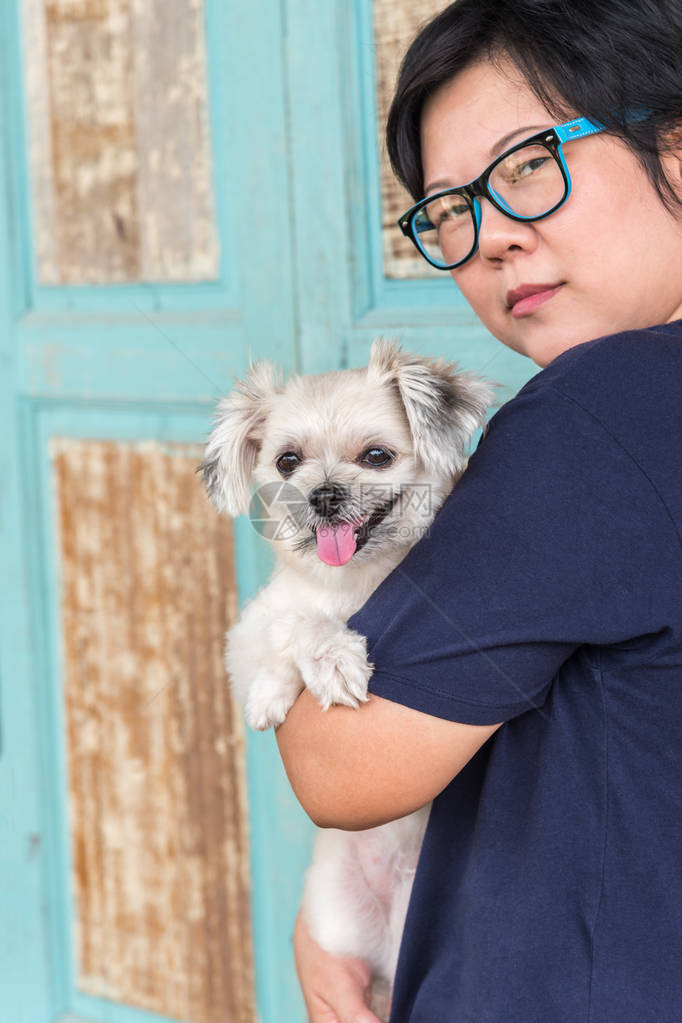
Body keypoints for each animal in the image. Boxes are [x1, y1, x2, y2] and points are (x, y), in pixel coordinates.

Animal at [200, 337, 492, 1014]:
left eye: (377, 456)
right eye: (288, 461)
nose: (324, 494)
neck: (358, 581)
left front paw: (328, 663)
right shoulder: (246, 634)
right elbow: (292, 624)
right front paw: (293, 681)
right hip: (337, 920)